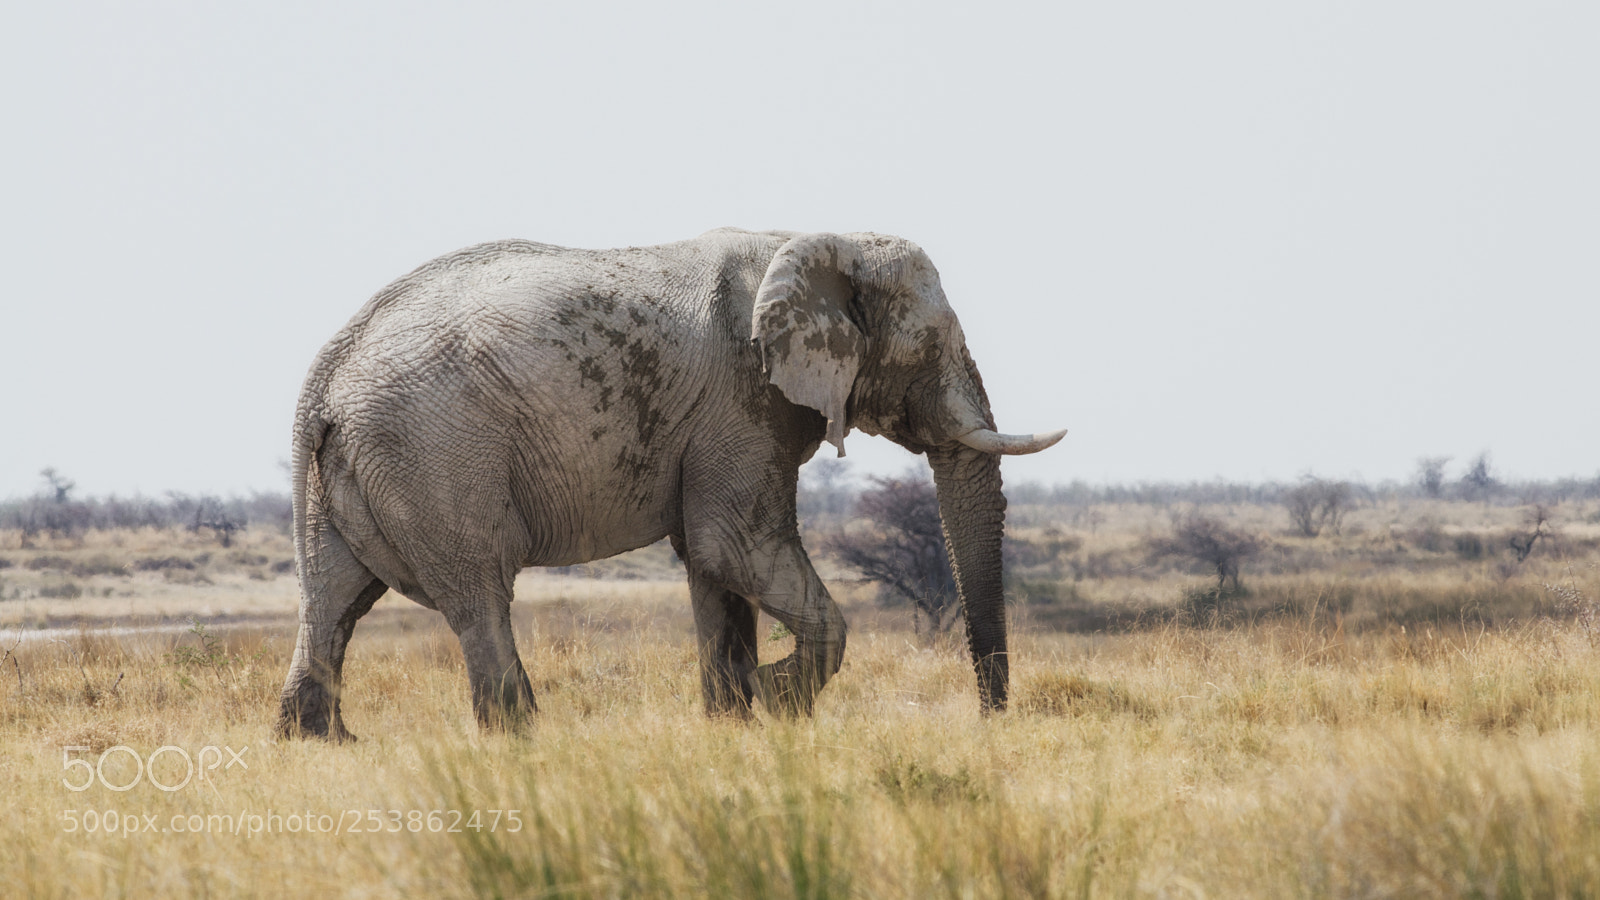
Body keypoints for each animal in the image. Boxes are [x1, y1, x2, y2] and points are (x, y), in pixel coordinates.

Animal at [275, 227, 1065, 739]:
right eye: (930, 348)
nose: (990, 722)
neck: (821, 238)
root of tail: (324, 381)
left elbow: (711, 564)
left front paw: (733, 721)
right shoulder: (743, 398)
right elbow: (731, 546)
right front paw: (775, 698)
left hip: (340, 476)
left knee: (335, 599)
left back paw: (320, 745)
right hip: (437, 455)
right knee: (478, 596)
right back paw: (523, 740)